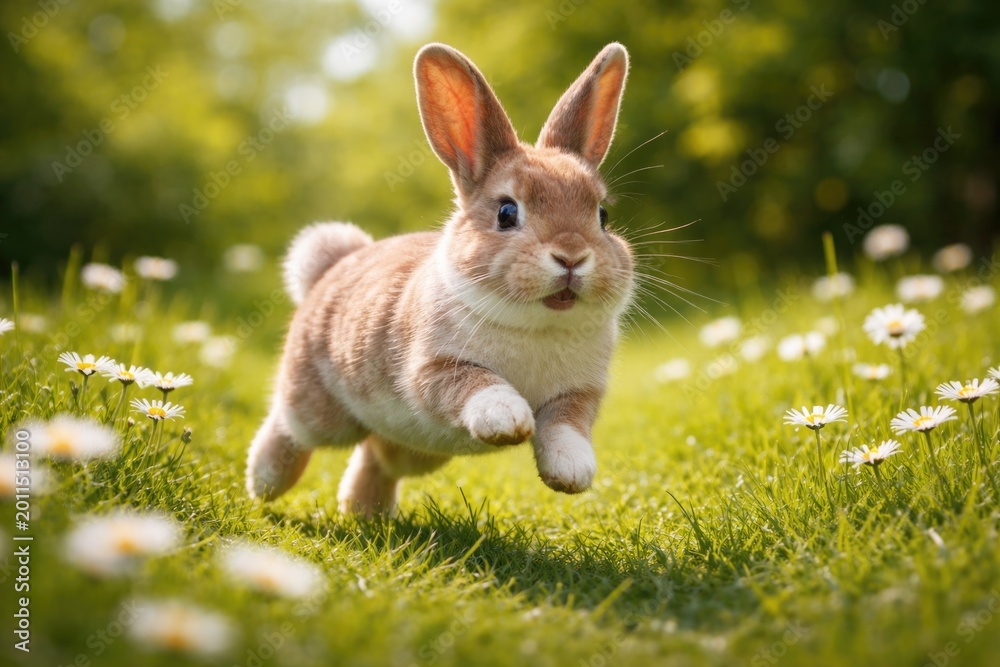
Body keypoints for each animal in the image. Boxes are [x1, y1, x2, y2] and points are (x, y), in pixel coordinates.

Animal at [246, 42, 635, 516]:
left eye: (603, 215)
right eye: (507, 212)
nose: (572, 257)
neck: (538, 325)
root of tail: (332, 268)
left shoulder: (578, 395)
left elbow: (565, 427)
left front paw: (572, 472)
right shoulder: (432, 370)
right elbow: (477, 385)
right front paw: (510, 419)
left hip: (416, 449)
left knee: (376, 457)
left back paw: (364, 512)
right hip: (319, 406)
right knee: (289, 426)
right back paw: (264, 483)